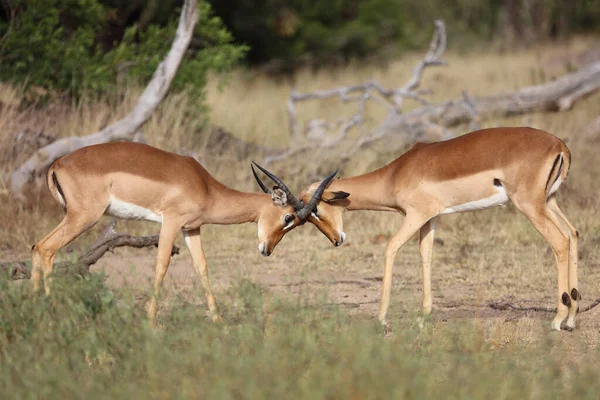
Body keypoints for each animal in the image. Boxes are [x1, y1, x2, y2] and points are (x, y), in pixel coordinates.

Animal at [31, 142, 338, 326]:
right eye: (288, 217)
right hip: (83, 217)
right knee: (46, 248)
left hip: (71, 216)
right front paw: (151, 322)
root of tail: (57, 164)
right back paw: (52, 311)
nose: (267, 249)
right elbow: (162, 265)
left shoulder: (192, 228)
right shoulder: (171, 222)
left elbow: (202, 267)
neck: (205, 186)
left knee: (37, 246)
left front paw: (218, 320)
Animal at [276, 127, 576, 332]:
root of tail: (560, 145)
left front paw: (381, 319)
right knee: (573, 234)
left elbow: (391, 248)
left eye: (315, 210)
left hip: (530, 205)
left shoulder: (416, 215)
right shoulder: (430, 219)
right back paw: (572, 318)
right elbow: (426, 255)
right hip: (549, 202)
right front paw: (424, 316)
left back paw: (558, 319)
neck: (395, 173)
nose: (336, 240)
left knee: (559, 241)